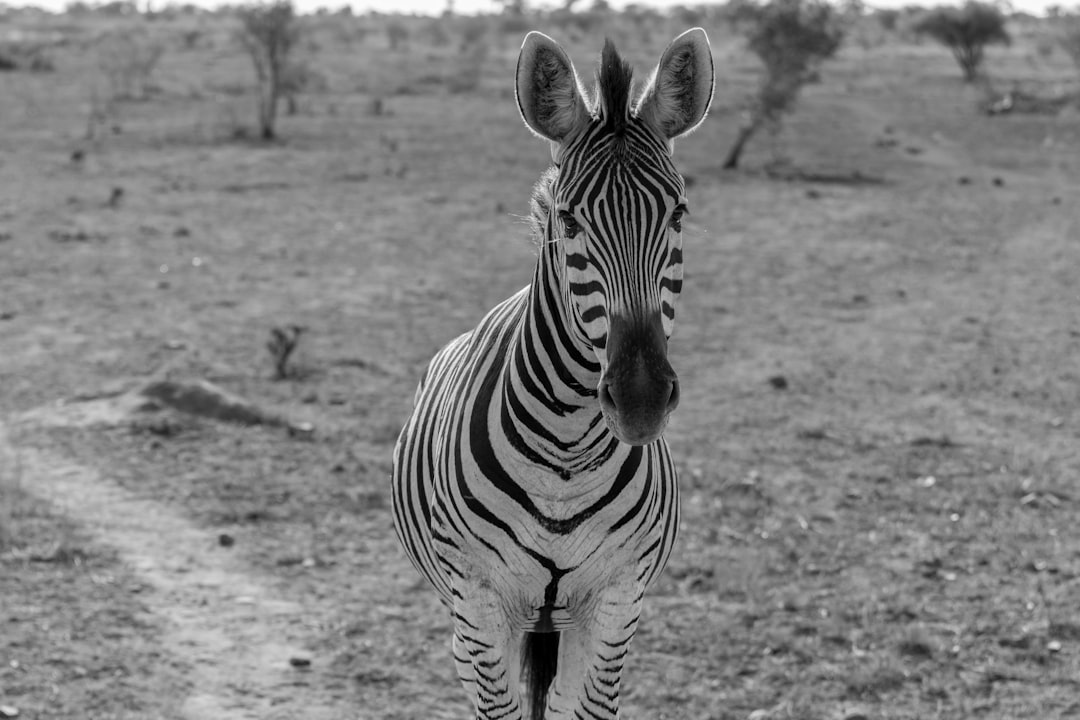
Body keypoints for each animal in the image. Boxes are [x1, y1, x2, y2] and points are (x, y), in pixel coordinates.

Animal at [393, 29, 712, 720]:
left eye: (678, 214)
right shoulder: (480, 602)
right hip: (474, 623)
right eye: (568, 221)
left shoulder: (617, 600)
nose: (641, 400)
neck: (567, 451)